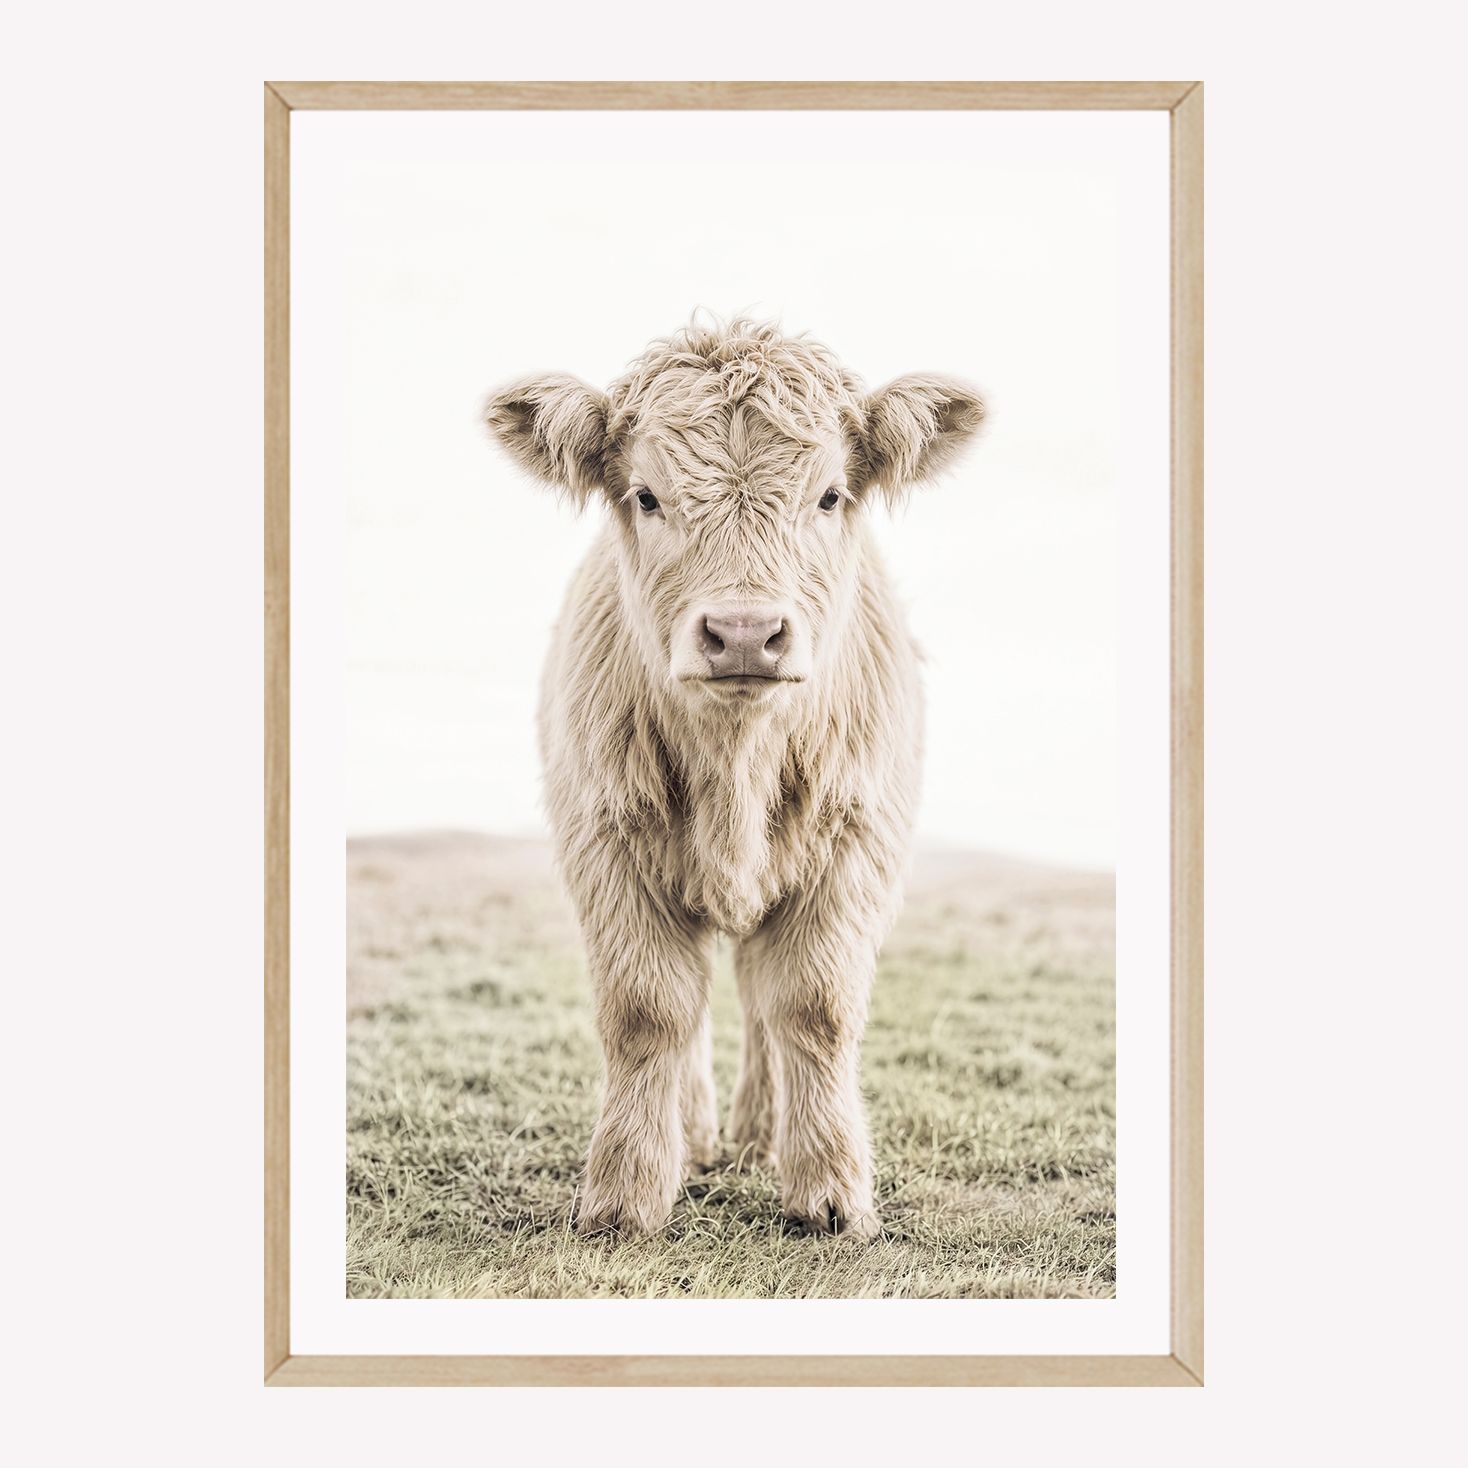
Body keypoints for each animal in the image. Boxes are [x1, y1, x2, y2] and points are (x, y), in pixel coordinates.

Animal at [485, 318, 985, 1238]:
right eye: (646, 496)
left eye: (829, 496)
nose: (745, 634)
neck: (737, 769)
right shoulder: (606, 843)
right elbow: (651, 1011)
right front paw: (628, 1193)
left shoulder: (855, 845)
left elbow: (812, 1007)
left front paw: (829, 1192)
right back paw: (699, 1135)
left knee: (759, 996)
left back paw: (760, 1133)